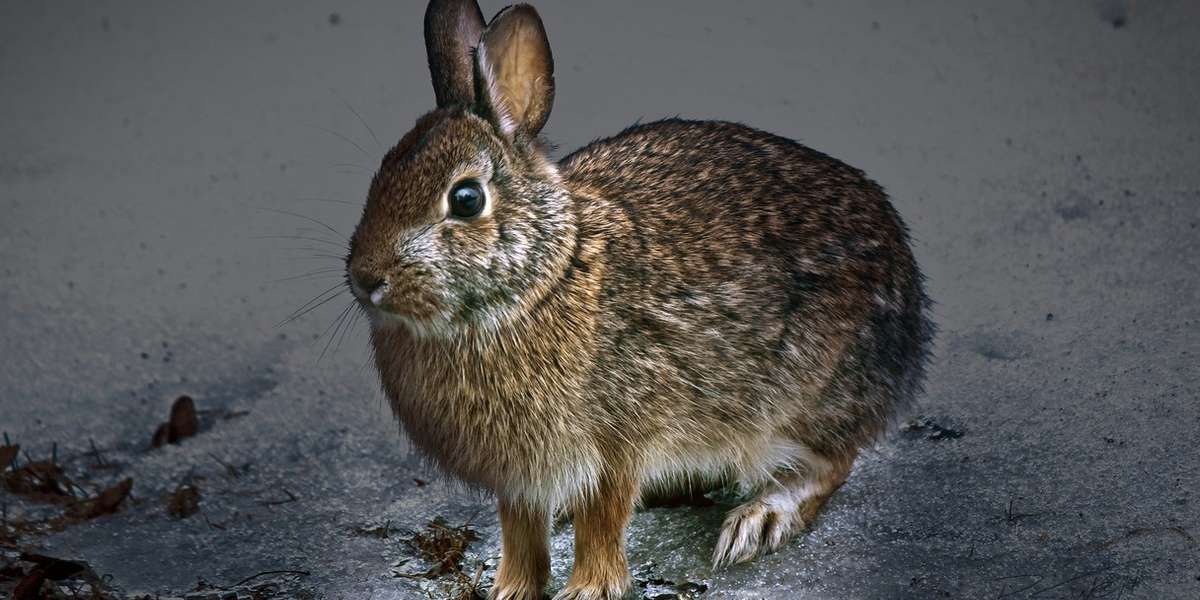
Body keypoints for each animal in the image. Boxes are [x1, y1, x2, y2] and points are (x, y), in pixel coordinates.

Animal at [344, 1, 934, 598]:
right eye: (381, 176)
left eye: (466, 199)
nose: (365, 278)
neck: (542, 283)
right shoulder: (520, 478)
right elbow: (521, 530)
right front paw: (510, 589)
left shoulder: (616, 442)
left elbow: (603, 518)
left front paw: (589, 589)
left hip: (807, 395)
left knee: (831, 462)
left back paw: (759, 520)